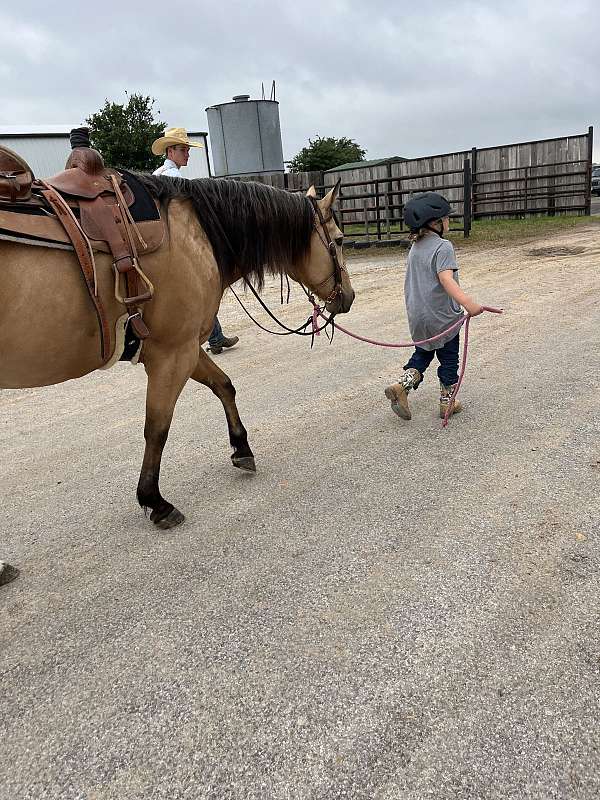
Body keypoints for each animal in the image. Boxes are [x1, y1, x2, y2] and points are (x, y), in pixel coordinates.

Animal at [0, 159, 354, 584]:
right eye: (338, 241)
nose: (349, 298)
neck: (195, 233)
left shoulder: (187, 350)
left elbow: (224, 386)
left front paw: (241, 449)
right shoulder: (173, 354)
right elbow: (158, 428)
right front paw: (155, 501)